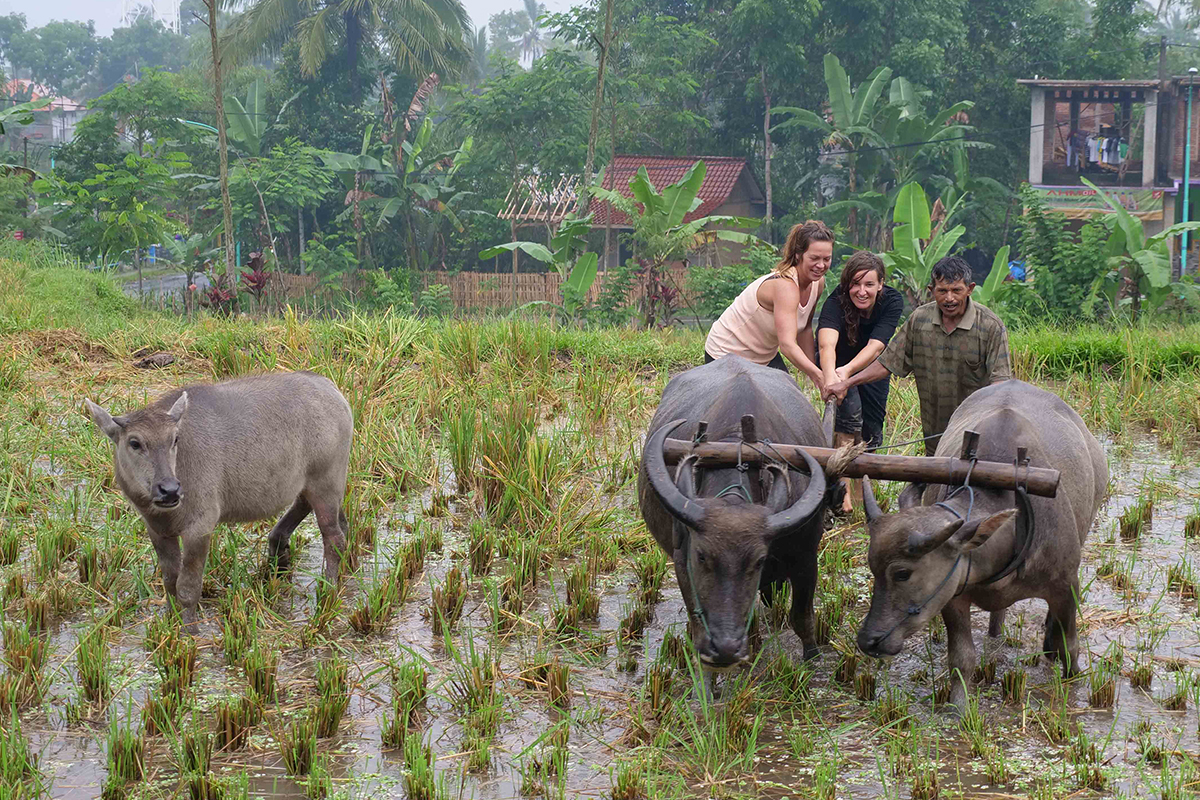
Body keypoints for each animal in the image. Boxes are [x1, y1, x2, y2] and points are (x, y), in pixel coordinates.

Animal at [85, 371, 350, 623]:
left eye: (174, 439)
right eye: (135, 443)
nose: (169, 490)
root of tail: (331, 389)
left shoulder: (200, 528)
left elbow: (187, 588)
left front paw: (189, 630)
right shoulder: (157, 531)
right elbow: (170, 581)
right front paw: (170, 621)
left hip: (326, 482)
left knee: (334, 538)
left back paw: (328, 591)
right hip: (311, 485)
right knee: (315, 512)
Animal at [638, 357, 835, 671]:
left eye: (759, 560)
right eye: (702, 556)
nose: (727, 648)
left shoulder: (805, 556)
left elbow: (802, 618)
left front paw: (813, 660)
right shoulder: (683, 562)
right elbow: (698, 626)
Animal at [854, 379, 1104, 710]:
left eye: (902, 573)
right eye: (873, 569)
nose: (868, 640)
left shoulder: (1066, 586)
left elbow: (1070, 647)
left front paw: (1072, 687)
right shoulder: (952, 596)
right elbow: (962, 659)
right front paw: (958, 708)